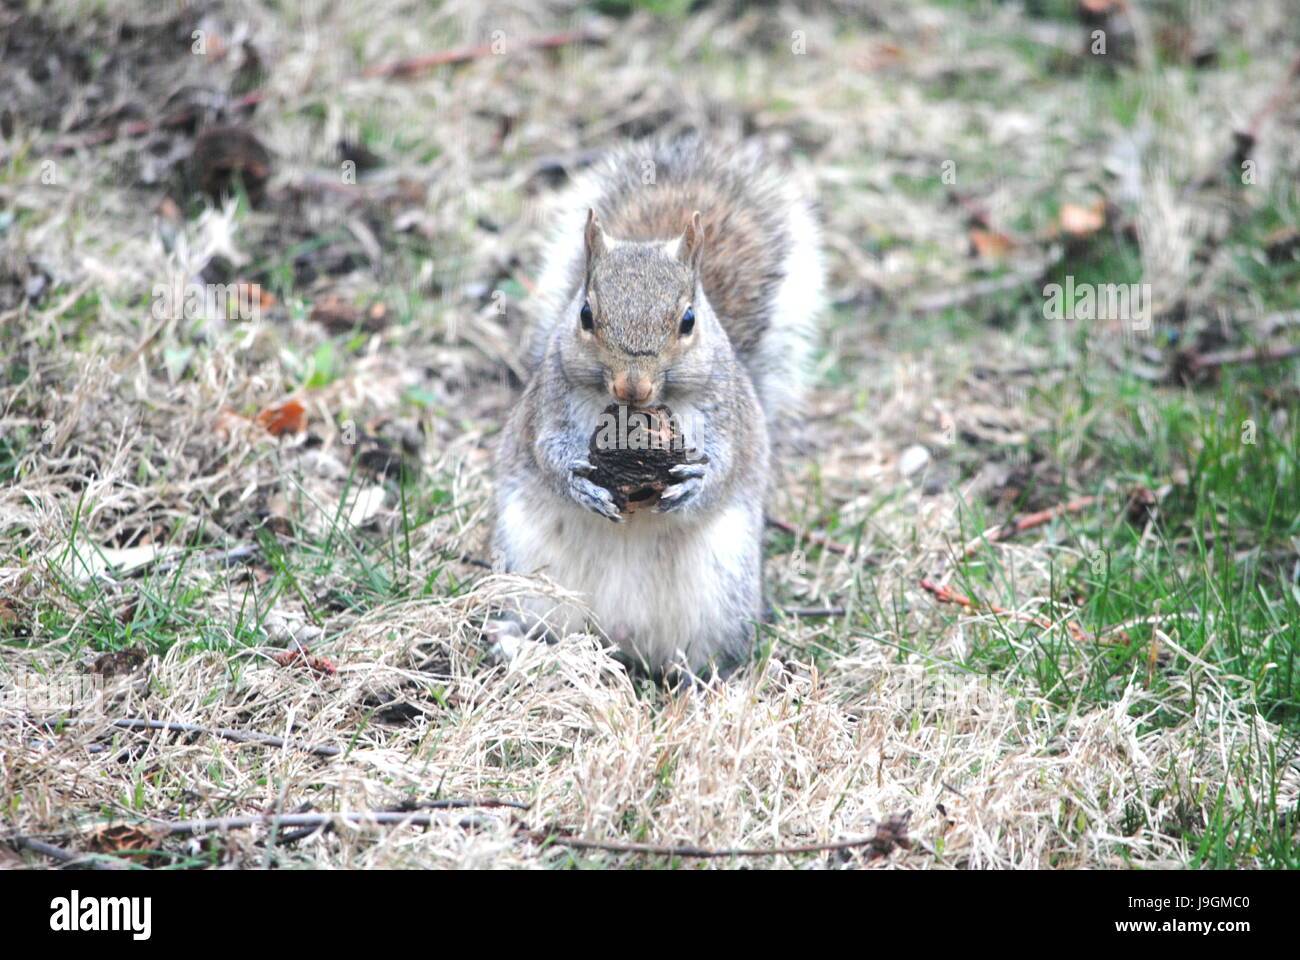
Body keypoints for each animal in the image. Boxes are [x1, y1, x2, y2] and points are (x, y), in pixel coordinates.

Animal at [492, 137, 825, 680]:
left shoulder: (728, 414)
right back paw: (522, 646)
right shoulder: (548, 402)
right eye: (585, 314)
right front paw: (577, 481)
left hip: (720, 599)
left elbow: (727, 462)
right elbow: (544, 451)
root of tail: (618, 636)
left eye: (688, 320)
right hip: (530, 577)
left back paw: (705, 681)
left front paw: (696, 483)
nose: (634, 387)